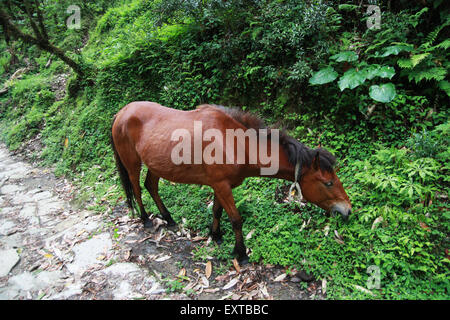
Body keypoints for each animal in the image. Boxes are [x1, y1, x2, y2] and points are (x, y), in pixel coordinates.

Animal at [111, 102, 352, 264]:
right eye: (329, 183)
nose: (348, 210)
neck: (235, 143)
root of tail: (122, 112)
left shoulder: (220, 186)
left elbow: (217, 211)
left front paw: (215, 235)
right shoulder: (222, 186)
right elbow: (236, 219)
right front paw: (241, 253)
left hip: (156, 166)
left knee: (151, 186)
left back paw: (169, 219)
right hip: (132, 164)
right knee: (137, 189)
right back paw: (145, 219)